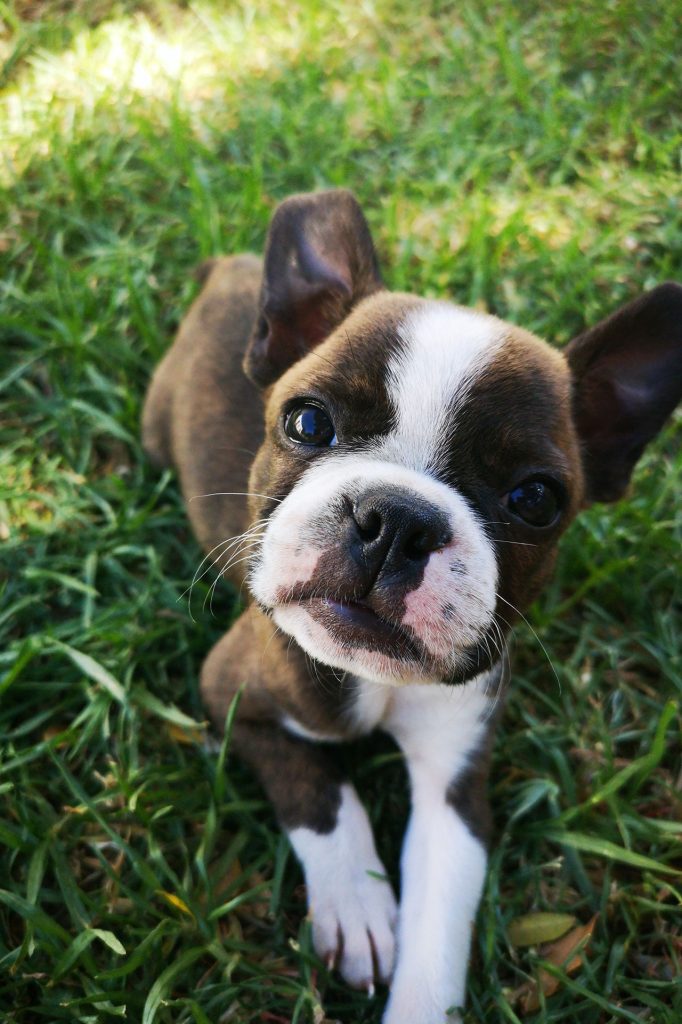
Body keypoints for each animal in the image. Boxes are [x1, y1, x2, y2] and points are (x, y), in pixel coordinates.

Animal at [142, 190, 679, 1024]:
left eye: (535, 500)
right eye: (307, 422)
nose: (395, 521)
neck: (375, 679)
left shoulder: (454, 786)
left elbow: (439, 924)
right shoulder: (236, 696)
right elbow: (322, 795)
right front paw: (358, 907)